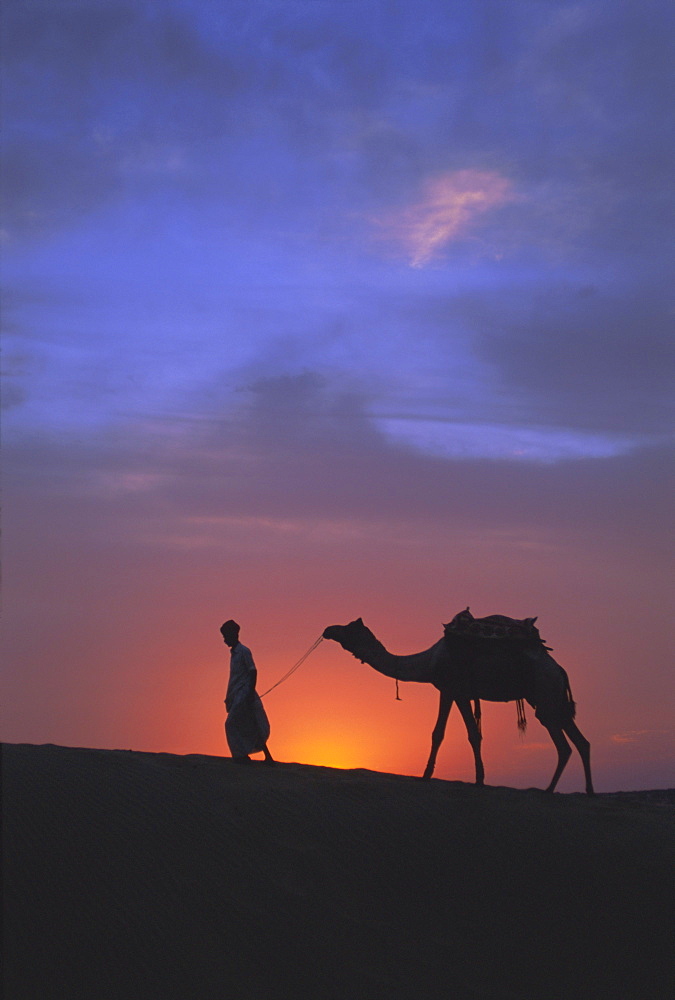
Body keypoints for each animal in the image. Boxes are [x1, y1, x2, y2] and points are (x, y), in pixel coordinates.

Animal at [322, 612, 592, 792]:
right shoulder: (450, 691)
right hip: (550, 698)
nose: (328, 629)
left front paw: (439, 776)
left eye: (348, 627)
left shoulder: (456, 690)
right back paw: (588, 791)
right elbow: (446, 733)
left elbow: (461, 734)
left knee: (564, 745)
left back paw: (549, 790)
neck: (429, 661)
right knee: (581, 741)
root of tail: (560, 669)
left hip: (545, 693)